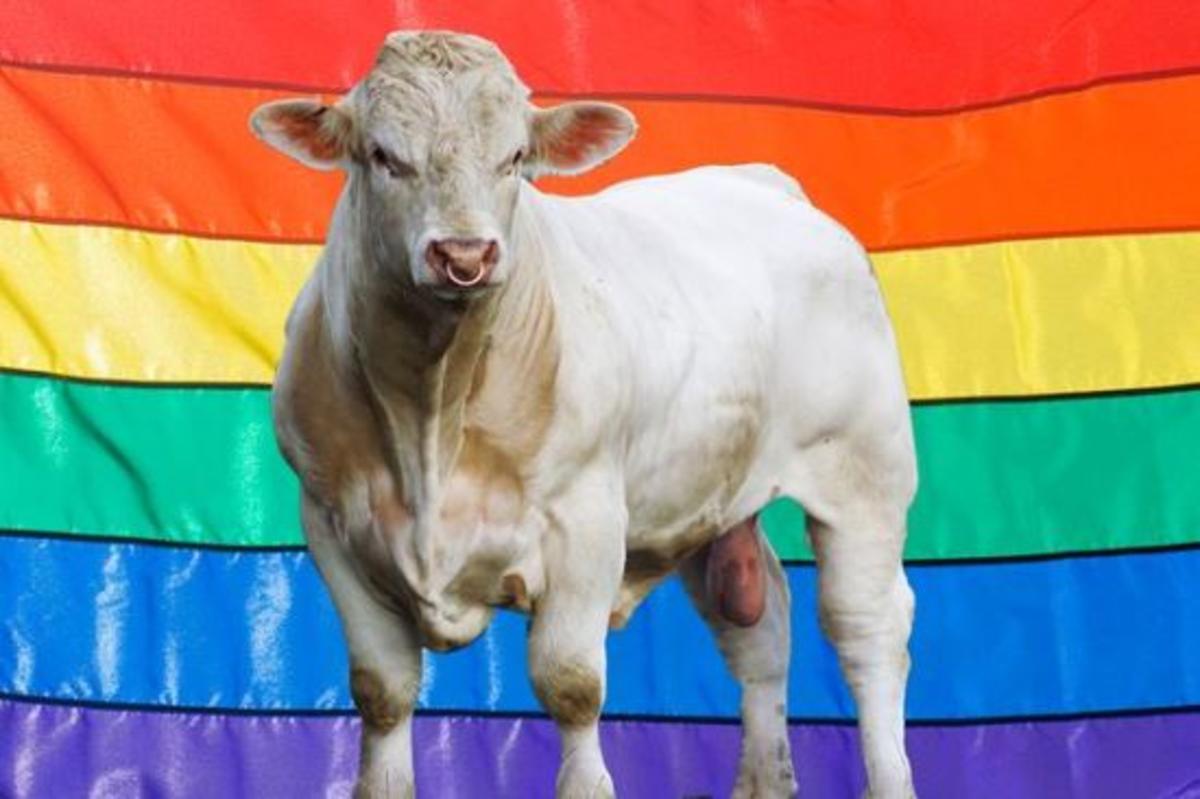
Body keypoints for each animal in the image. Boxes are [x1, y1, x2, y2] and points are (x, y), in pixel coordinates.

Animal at [251, 30, 917, 799]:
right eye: (384, 155)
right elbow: (382, 691)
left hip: (866, 473)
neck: (433, 404)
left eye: (514, 158)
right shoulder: (333, 526)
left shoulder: (587, 521)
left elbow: (570, 683)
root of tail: (765, 183)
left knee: (868, 630)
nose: (464, 254)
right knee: (758, 630)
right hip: (712, 501)